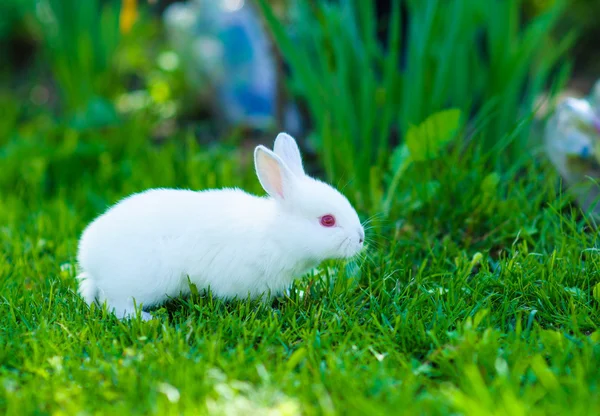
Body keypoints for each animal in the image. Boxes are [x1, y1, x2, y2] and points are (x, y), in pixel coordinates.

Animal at [76, 132, 366, 320]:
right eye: (327, 220)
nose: (361, 238)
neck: (276, 234)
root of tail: (88, 260)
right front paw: (272, 312)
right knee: (115, 306)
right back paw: (151, 320)